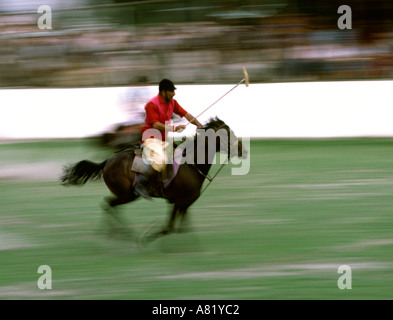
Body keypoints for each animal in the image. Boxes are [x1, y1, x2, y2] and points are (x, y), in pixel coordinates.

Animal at [60, 117, 247, 242]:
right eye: (226, 135)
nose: (243, 150)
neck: (191, 163)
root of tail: (108, 161)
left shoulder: (182, 202)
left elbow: (179, 227)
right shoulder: (180, 200)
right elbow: (170, 228)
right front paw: (149, 236)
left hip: (126, 195)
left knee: (108, 205)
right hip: (127, 194)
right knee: (108, 204)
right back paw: (122, 234)